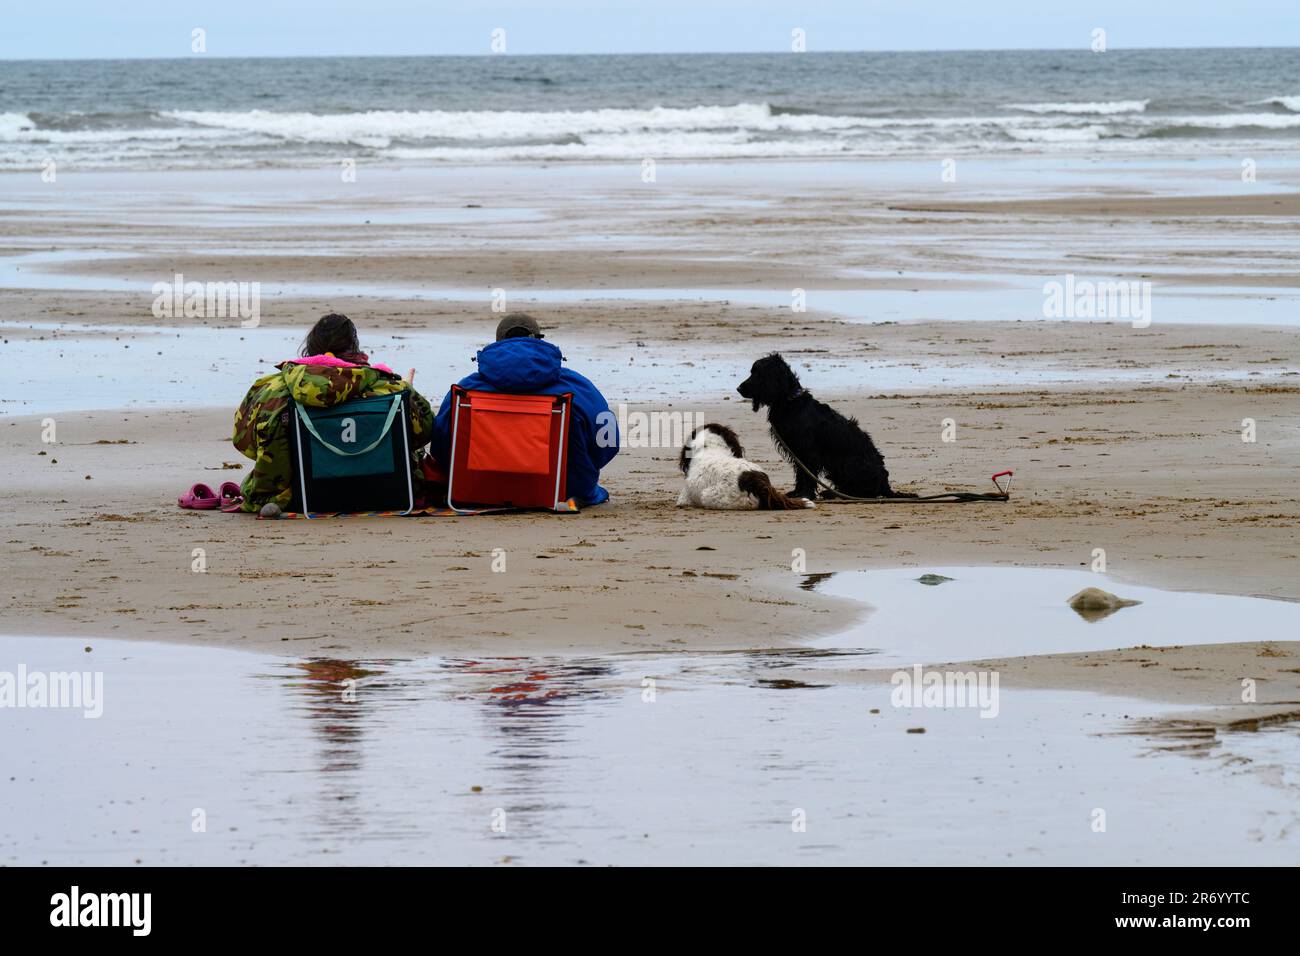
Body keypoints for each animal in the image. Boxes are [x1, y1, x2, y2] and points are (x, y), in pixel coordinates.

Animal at [738, 351, 909, 502]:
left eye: (757, 373)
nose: (738, 389)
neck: (789, 401)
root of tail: (885, 484)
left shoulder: (807, 451)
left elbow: (807, 475)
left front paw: (806, 494)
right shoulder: (796, 452)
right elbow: (800, 473)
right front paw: (797, 492)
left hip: (846, 464)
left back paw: (832, 494)